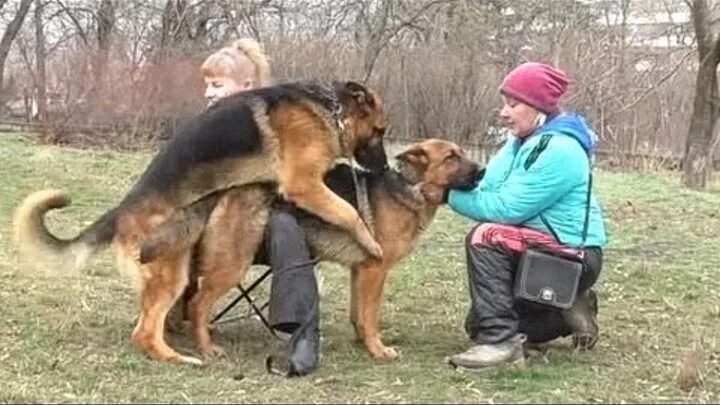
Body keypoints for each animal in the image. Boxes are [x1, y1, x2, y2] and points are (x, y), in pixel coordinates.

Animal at [142, 140, 478, 360]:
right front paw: (378, 349)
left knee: (182, 298)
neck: (408, 187)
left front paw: (361, 343)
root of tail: (225, 189)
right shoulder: (375, 271)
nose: (482, 171)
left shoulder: (360, 271)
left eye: (461, 154)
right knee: (198, 304)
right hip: (232, 265)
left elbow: (358, 314)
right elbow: (371, 316)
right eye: (451, 157)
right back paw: (206, 347)